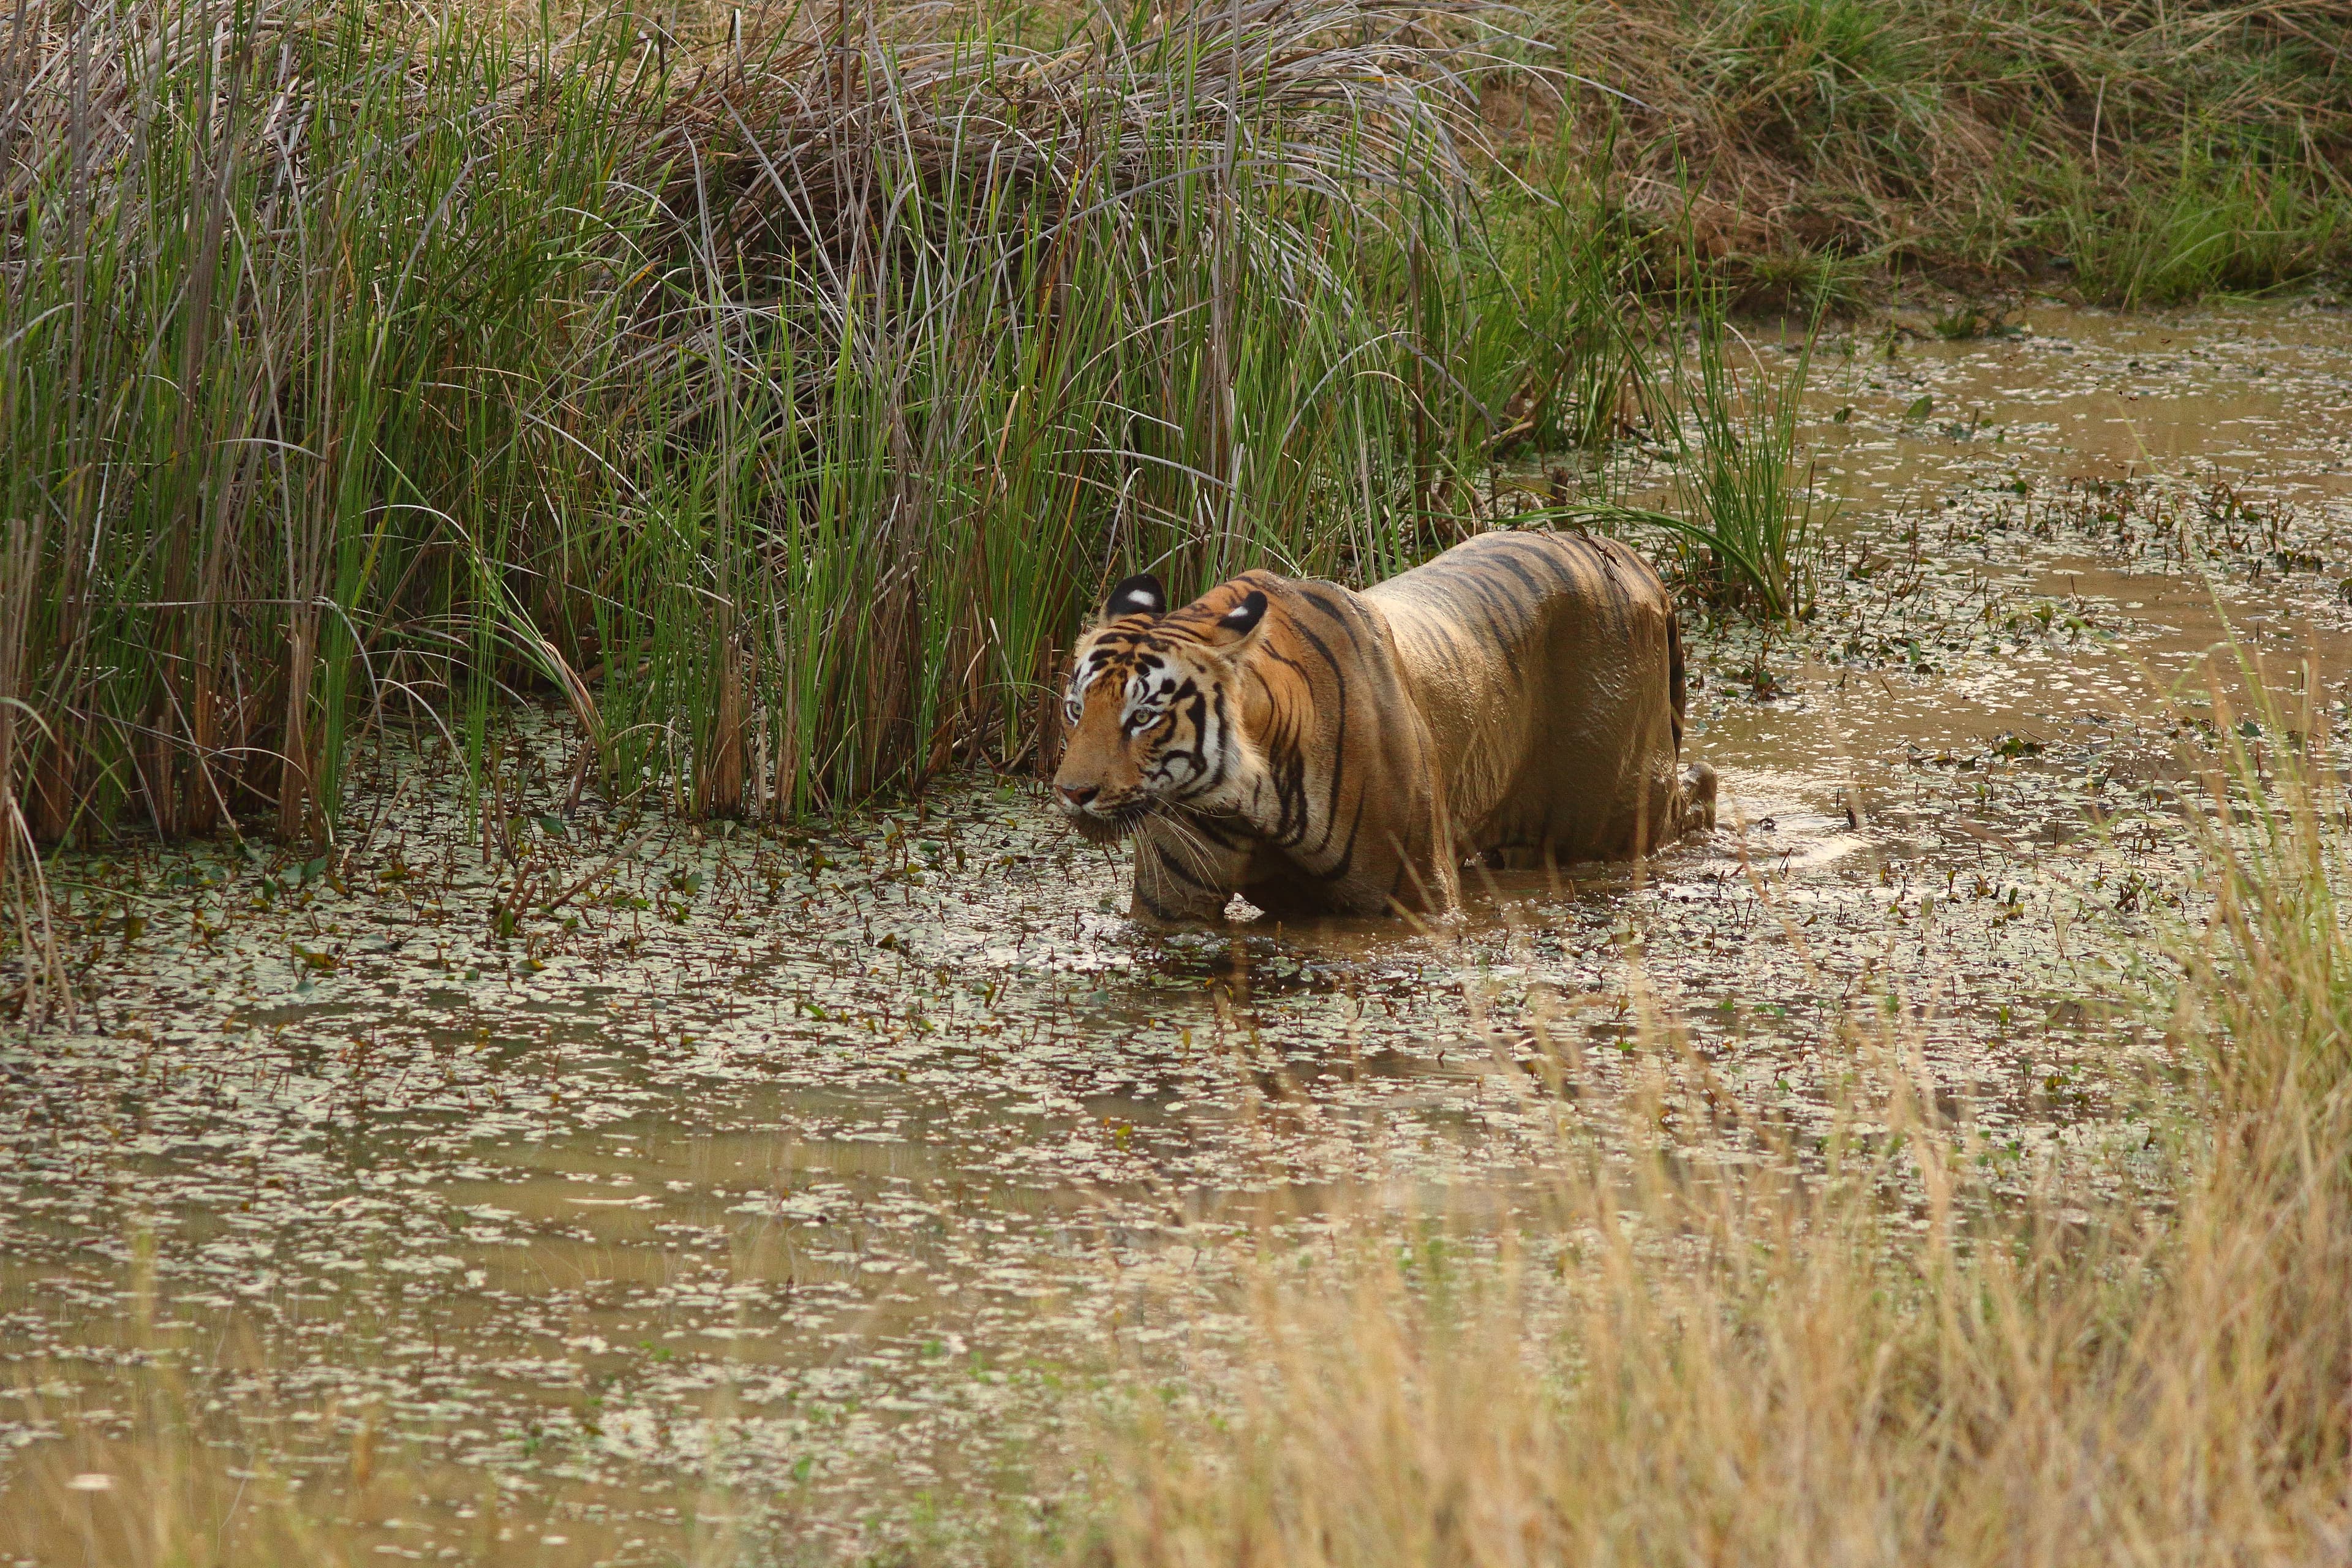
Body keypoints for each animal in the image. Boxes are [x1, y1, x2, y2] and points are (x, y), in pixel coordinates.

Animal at [1050, 528, 1717, 925]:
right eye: (1076, 709)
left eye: (1143, 717)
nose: (1072, 792)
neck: (1246, 799)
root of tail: (1633, 559)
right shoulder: (1173, 908)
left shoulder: (1418, 899)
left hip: (1609, 816)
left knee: (1702, 787)